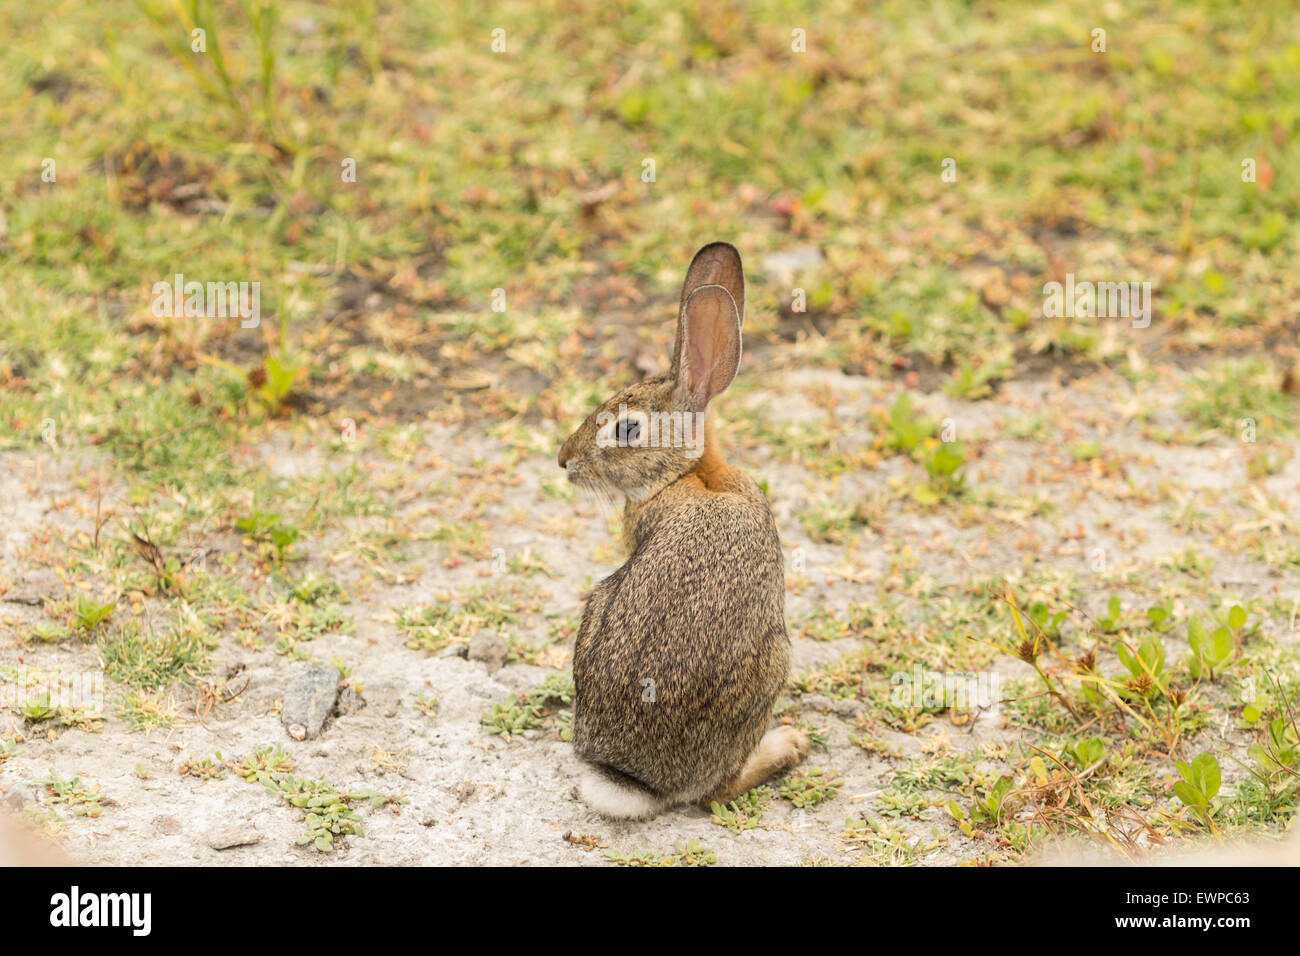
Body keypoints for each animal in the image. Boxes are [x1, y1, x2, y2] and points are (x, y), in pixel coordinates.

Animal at [556, 243, 806, 816]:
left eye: (627, 429)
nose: (564, 460)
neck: (686, 474)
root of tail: (636, 781)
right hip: (773, 664)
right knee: (717, 793)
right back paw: (788, 745)